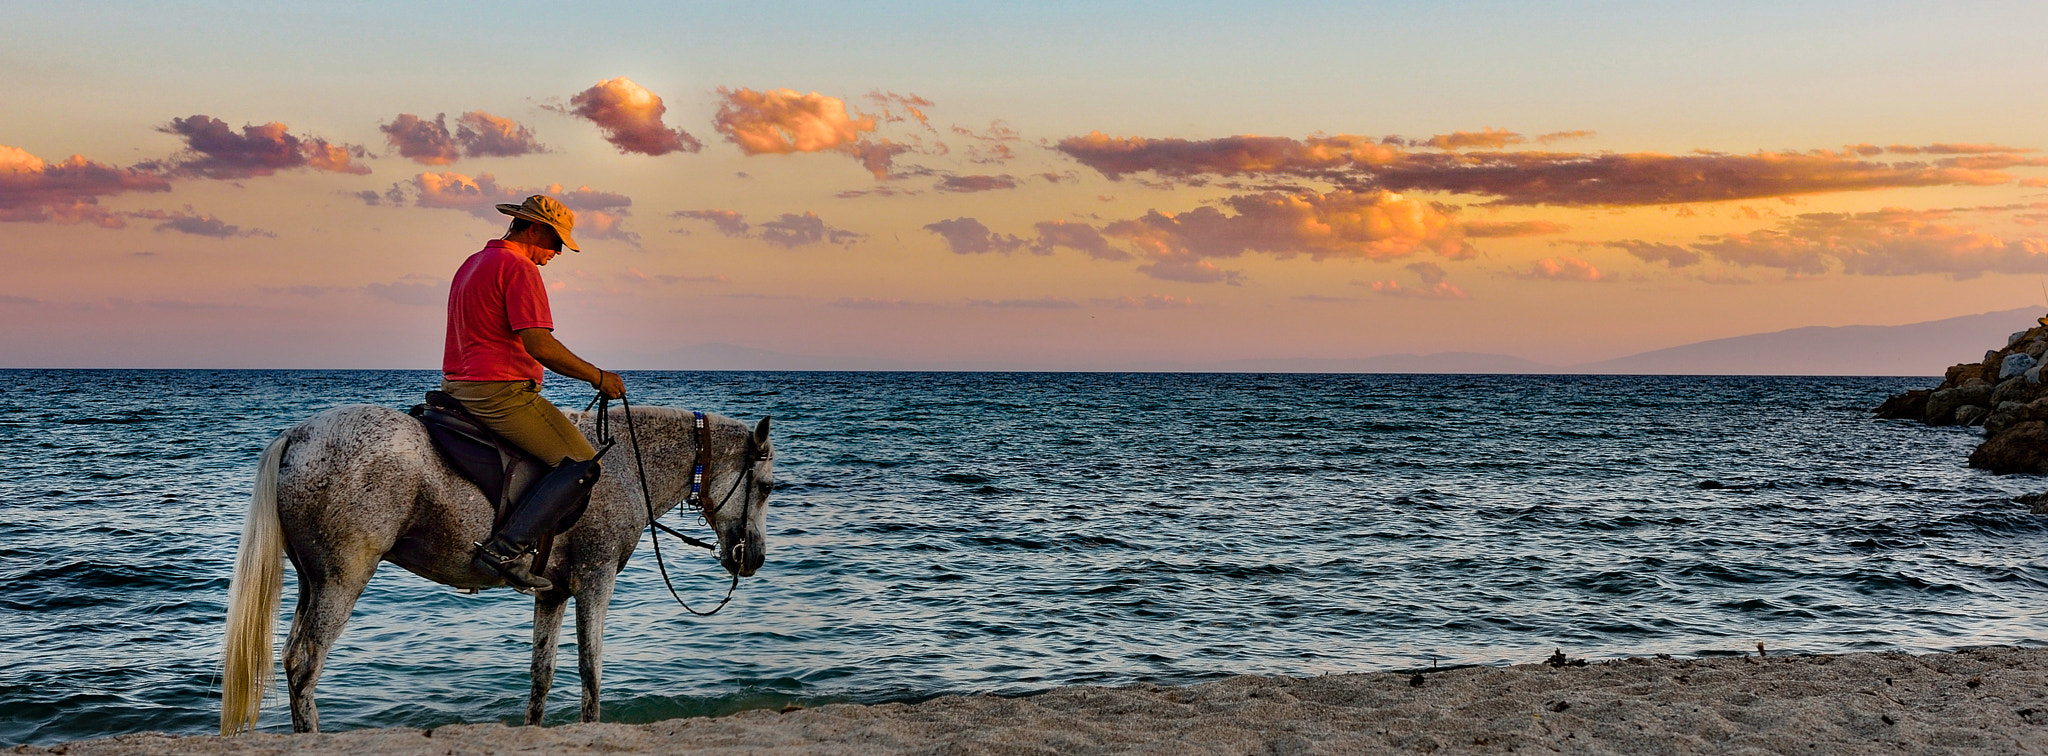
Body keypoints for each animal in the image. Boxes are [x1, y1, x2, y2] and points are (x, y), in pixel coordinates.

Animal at [220, 403, 770, 733]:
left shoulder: (553, 592)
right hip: (342, 579)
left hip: (312, 582)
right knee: (304, 664)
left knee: (293, 659)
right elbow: (591, 670)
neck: (625, 469)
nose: (754, 558)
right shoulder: (596, 580)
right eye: (766, 487)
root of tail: (298, 436)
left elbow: (541, 674)